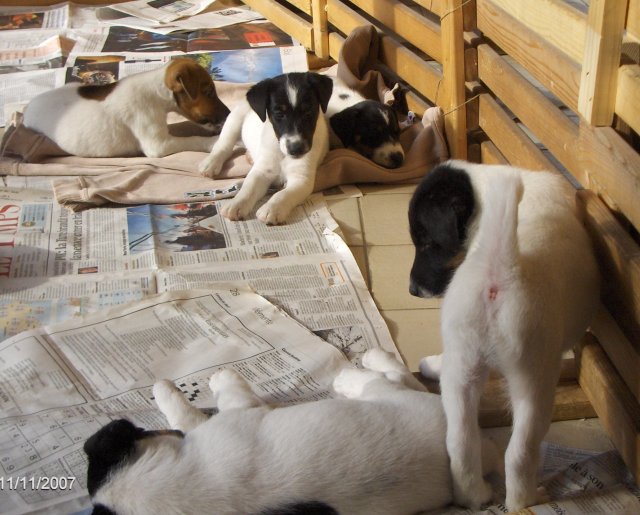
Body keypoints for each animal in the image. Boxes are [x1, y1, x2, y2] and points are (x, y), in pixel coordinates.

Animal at [23, 58, 229, 157]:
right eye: (209, 92)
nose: (228, 113)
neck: (155, 92)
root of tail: (25, 111)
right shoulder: (158, 145)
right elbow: (193, 139)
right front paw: (214, 141)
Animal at [85, 346, 498, 515]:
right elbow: (188, 420)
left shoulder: (239, 413)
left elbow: (210, 403)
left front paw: (189, 385)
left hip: (397, 396)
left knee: (391, 376)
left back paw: (360, 368)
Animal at [200, 71, 332, 225]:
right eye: (279, 114)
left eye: (308, 113)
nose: (296, 149)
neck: (282, 152)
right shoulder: (262, 171)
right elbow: (248, 188)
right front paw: (236, 203)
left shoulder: (301, 178)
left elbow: (283, 194)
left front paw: (272, 208)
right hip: (234, 119)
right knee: (223, 145)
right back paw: (210, 163)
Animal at [410, 160, 600, 512]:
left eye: (428, 244)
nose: (413, 291)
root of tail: (500, 270)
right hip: (534, 380)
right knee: (519, 453)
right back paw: (526, 499)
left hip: (461, 366)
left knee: (460, 443)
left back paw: (474, 496)